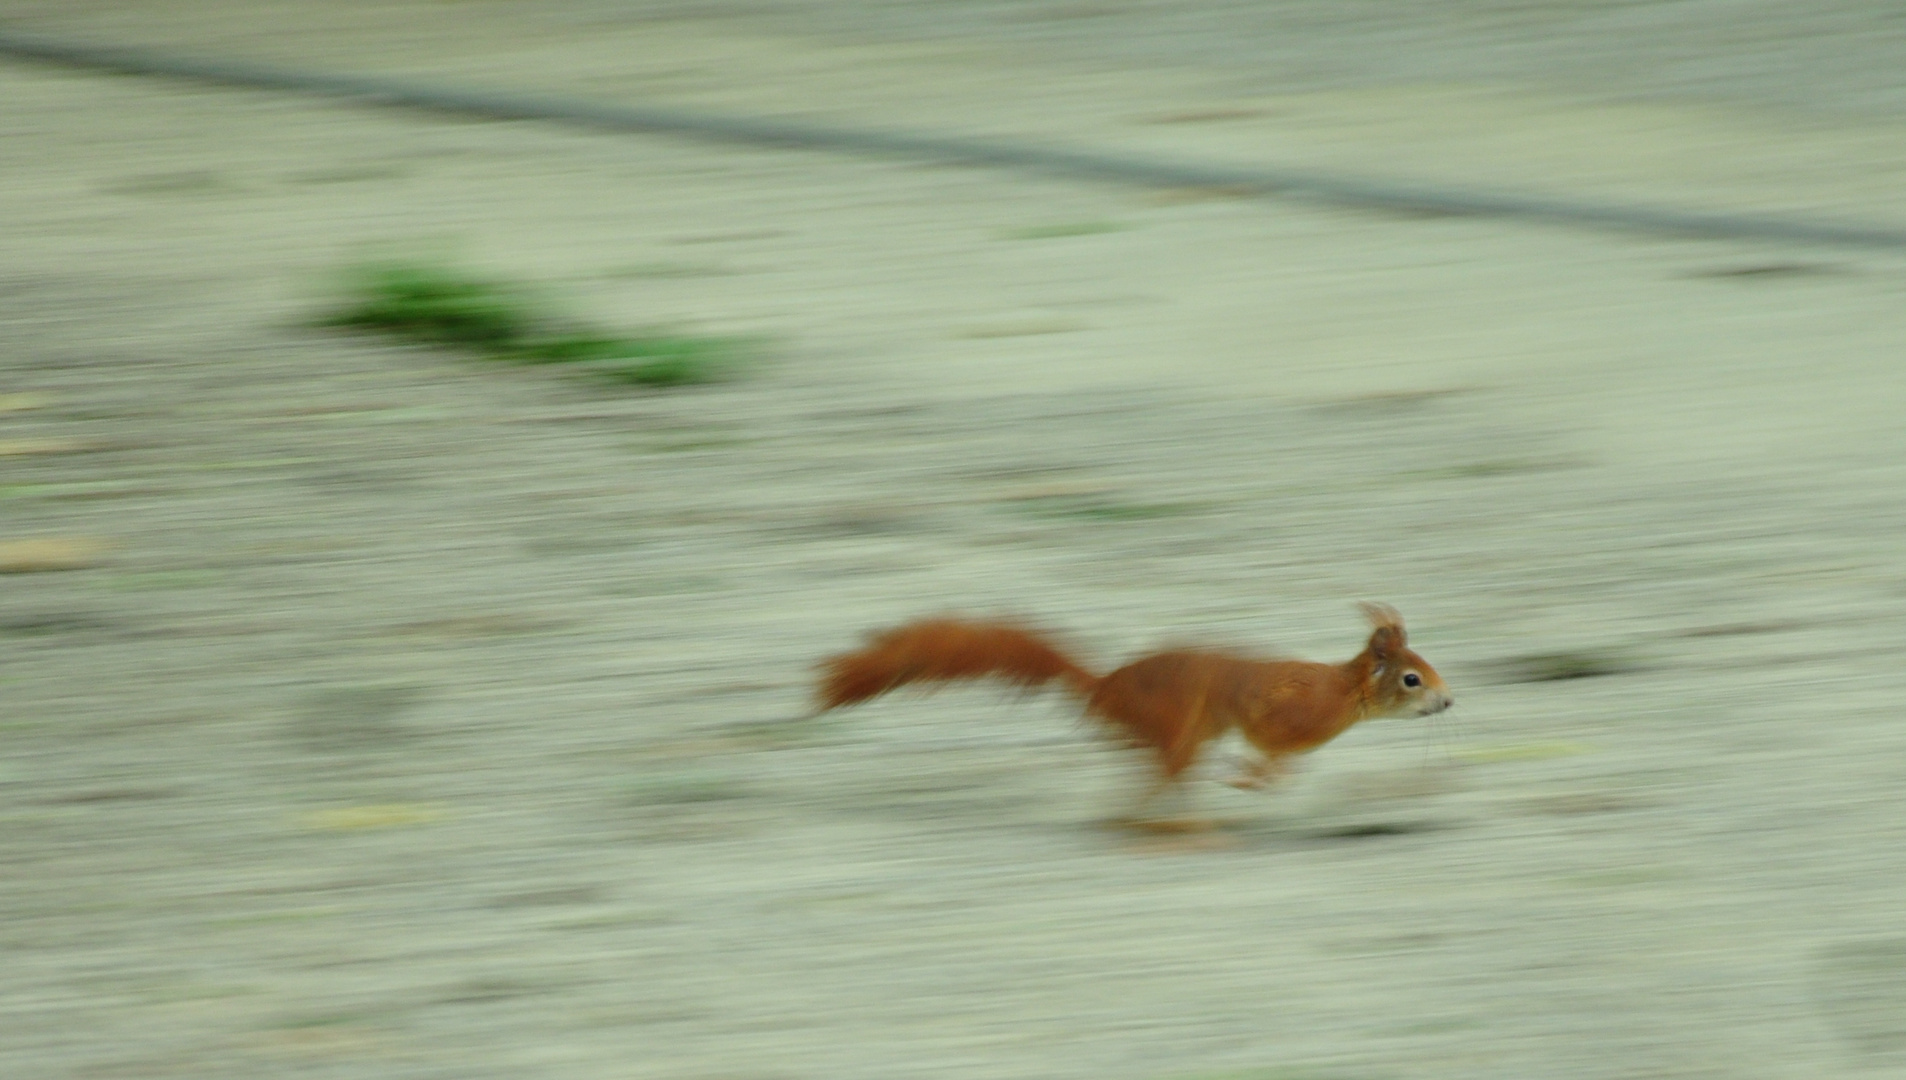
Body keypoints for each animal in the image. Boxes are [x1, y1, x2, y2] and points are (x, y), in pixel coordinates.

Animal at [811, 601, 1448, 826]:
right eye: (1412, 678)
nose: (1448, 702)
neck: (1344, 696)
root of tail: (1103, 688)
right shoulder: (1276, 711)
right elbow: (1264, 743)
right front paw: (1256, 777)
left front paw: (1267, 778)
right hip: (1178, 727)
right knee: (1163, 775)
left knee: (1150, 775)